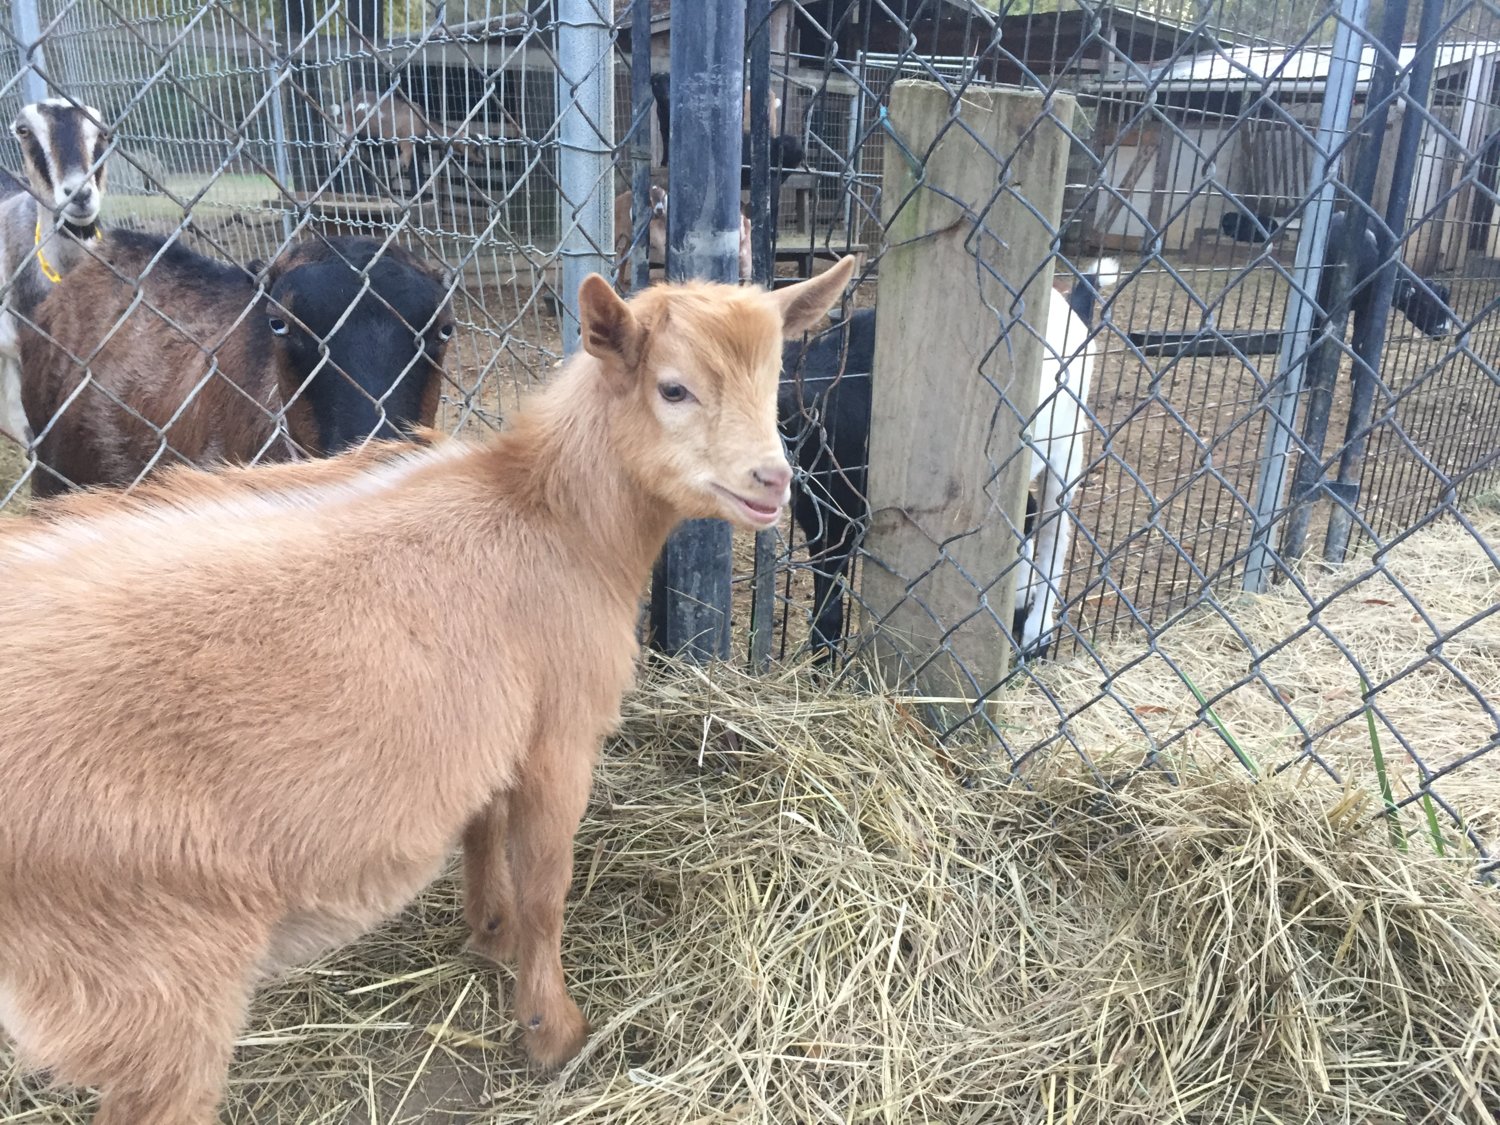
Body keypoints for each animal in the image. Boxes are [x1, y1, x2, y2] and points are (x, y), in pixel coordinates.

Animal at [0, 258, 858, 1125]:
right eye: (673, 388)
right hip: (149, 966)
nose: (772, 481)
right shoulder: (559, 734)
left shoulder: (489, 723)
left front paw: (489, 931)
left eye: (776, 378)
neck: (554, 516)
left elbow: (482, 828)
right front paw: (553, 1030)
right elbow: (547, 886)